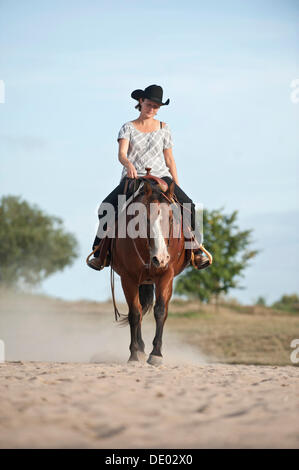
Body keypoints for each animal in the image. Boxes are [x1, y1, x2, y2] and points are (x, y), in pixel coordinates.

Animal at [109, 174, 192, 366]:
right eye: (144, 219)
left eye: (171, 218)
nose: (160, 258)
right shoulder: (128, 278)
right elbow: (134, 313)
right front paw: (134, 354)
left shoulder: (166, 274)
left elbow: (160, 310)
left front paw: (156, 354)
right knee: (138, 310)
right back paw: (139, 348)